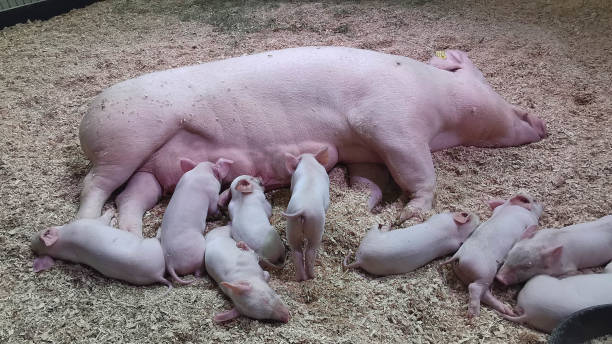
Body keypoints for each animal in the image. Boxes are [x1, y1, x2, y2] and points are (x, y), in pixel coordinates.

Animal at [75, 45, 544, 231]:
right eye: (484, 79)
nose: (541, 123)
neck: (439, 102)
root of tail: (87, 115)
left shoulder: (366, 150)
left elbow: (370, 179)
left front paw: (370, 205)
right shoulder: (392, 123)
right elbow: (417, 170)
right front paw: (409, 215)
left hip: (150, 167)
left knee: (131, 195)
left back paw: (128, 230)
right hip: (125, 138)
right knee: (94, 184)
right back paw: (88, 222)